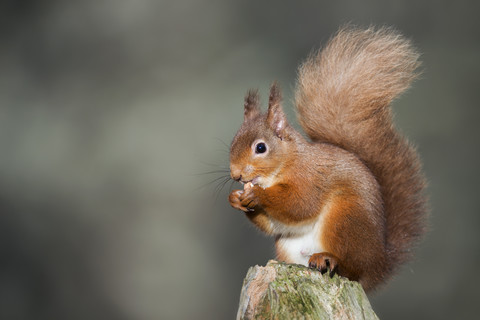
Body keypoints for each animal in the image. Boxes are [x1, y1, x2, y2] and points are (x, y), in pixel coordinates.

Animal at [229, 26, 428, 292]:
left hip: (345, 218)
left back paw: (329, 258)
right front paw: (236, 198)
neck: (288, 163)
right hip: (290, 245)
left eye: (260, 147)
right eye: (232, 142)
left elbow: (300, 204)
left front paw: (258, 195)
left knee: (351, 268)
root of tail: (378, 264)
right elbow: (273, 223)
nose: (236, 174)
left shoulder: (311, 177)